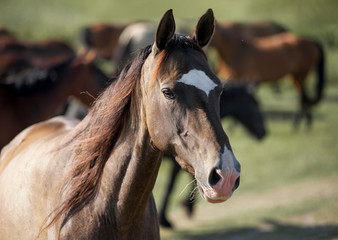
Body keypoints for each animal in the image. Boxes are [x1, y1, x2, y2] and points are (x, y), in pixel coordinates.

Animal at [158, 83, 266, 229]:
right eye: (254, 103)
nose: (264, 132)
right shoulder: (178, 163)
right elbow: (171, 186)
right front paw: (166, 219)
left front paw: (187, 206)